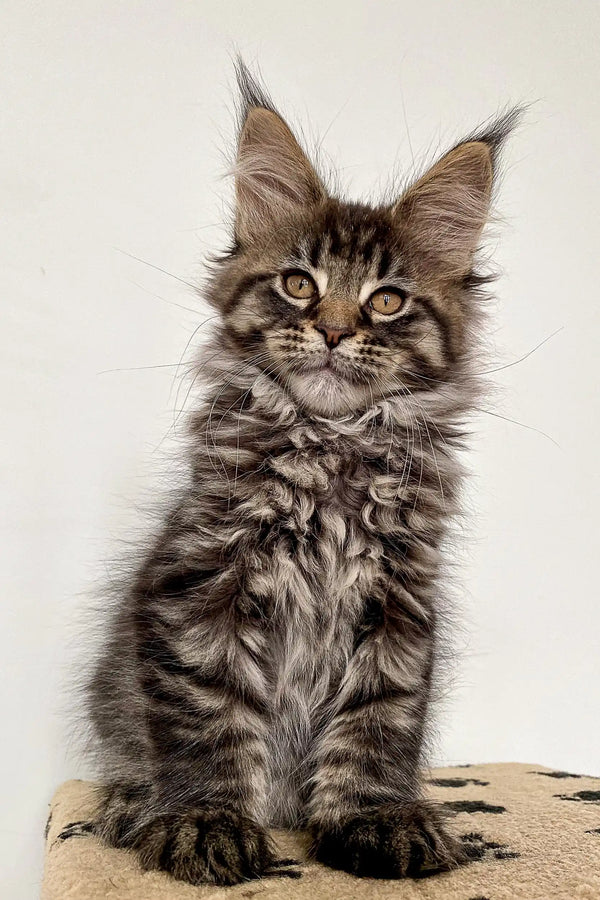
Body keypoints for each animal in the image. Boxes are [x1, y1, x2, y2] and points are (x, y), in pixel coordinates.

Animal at [86, 65, 516, 884]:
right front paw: (204, 819)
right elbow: (208, 716)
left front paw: (377, 817)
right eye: (298, 285)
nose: (335, 330)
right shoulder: (201, 586)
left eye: (387, 301)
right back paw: (132, 803)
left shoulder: (400, 603)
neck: (330, 446)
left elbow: (378, 719)